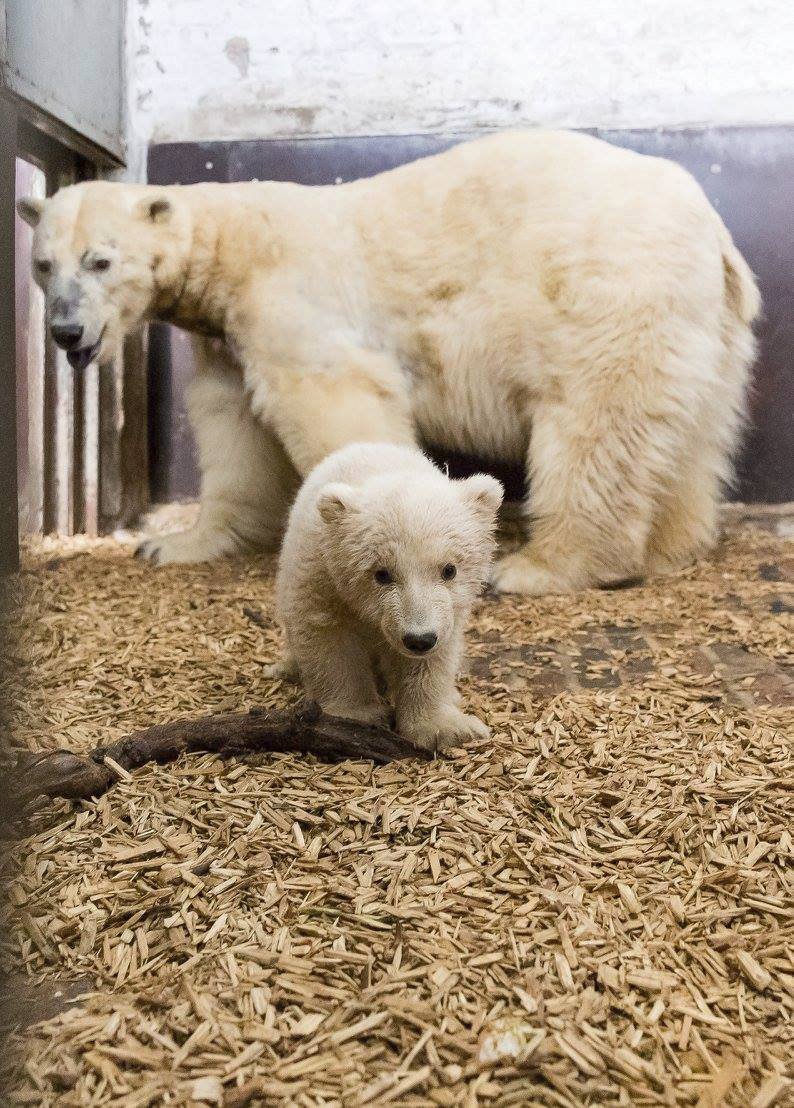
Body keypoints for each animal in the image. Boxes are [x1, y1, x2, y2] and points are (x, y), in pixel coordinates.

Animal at [21, 128, 757, 593]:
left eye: (100, 260)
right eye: (43, 264)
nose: (64, 330)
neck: (232, 249)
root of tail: (714, 231)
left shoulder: (290, 299)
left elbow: (331, 402)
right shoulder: (226, 338)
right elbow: (233, 428)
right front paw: (173, 543)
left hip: (601, 292)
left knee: (592, 425)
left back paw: (543, 565)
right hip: (701, 328)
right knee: (686, 432)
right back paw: (674, 543)